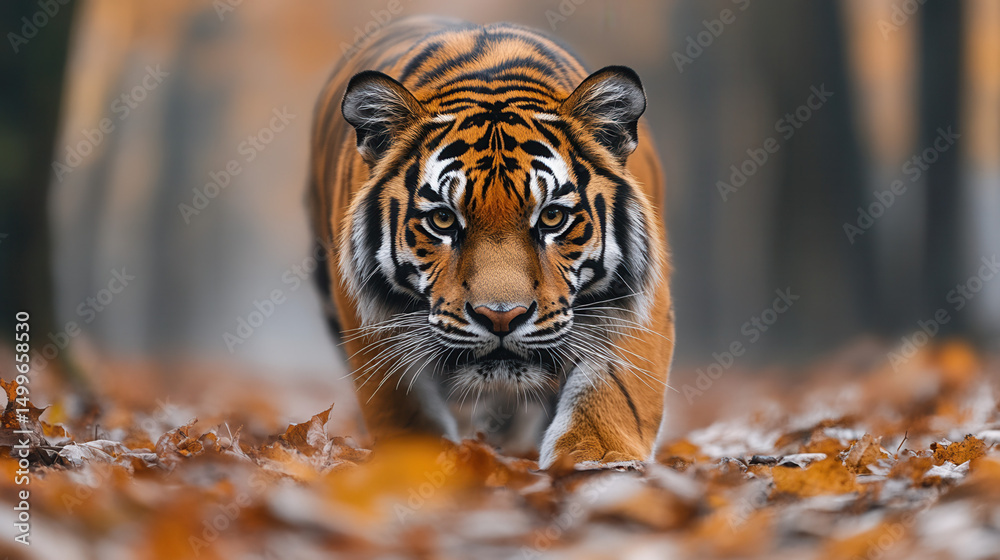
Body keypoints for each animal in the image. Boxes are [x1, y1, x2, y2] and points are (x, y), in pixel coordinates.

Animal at [308, 17, 674, 467]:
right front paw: (416, 461)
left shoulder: (639, 295)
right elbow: (402, 401)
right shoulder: (368, 315)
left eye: (552, 217)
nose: (501, 317)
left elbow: (615, 385)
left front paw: (596, 458)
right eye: (443, 219)